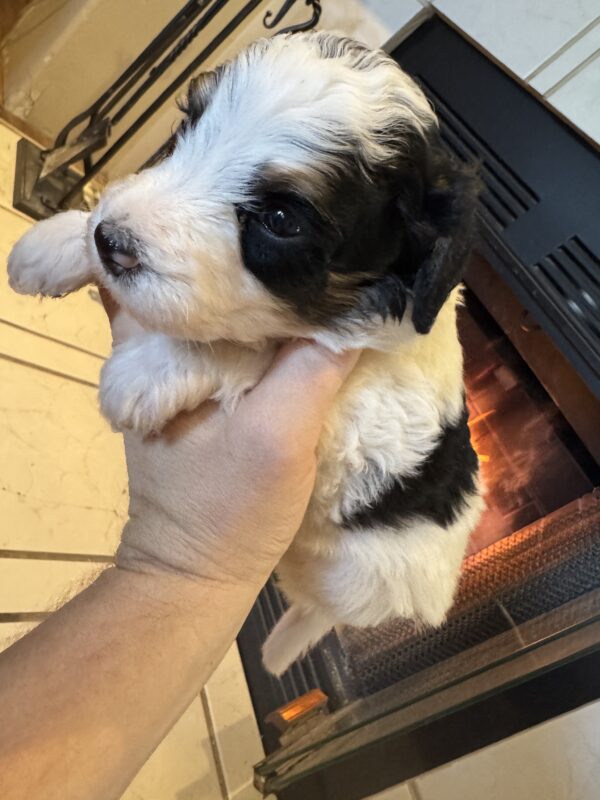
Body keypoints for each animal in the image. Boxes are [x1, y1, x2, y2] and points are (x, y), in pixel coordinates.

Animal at [8, 31, 482, 676]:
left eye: (280, 219)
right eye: (187, 130)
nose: (111, 242)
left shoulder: (369, 418)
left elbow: (258, 344)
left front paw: (150, 371)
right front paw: (59, 241)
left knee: (320, 610)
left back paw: (281, 646)